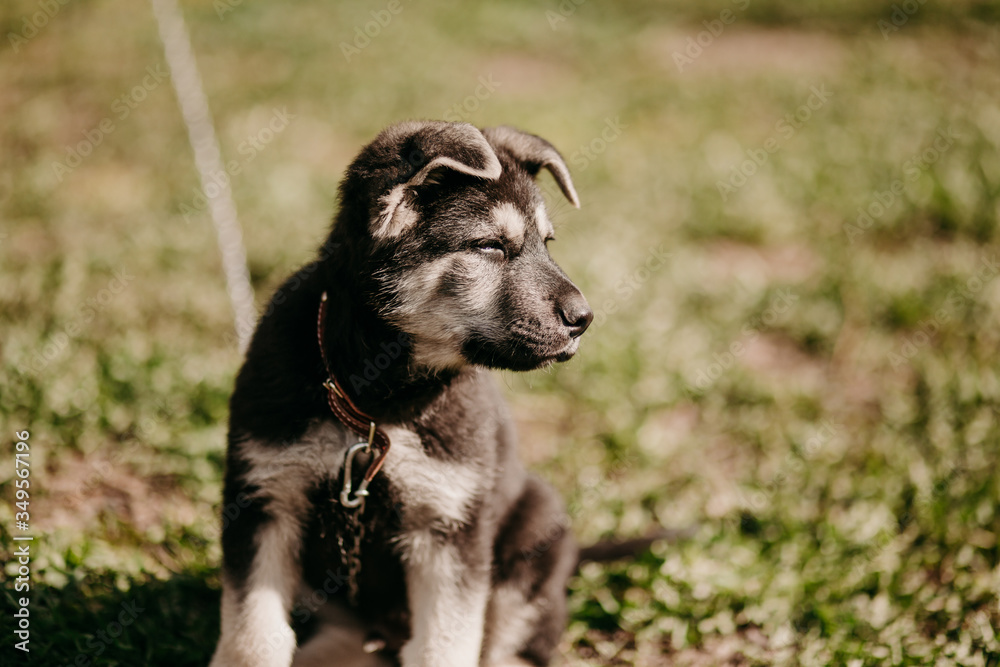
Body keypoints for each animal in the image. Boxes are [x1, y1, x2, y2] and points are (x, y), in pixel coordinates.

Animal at [207, 121, 588, 667]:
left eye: (547, 244)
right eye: (490, 246)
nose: (585, 318)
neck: (374, 403)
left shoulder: (449, 528)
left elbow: (443, 644)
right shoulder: (263, 500)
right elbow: (252, 636)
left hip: (537, 534)